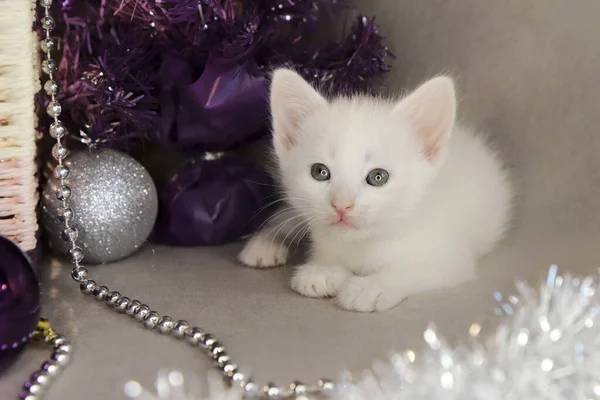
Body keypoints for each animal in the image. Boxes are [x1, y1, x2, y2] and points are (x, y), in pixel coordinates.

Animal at [239, 69, 510, 312]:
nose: (341, 204)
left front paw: (370, 288)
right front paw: (322, 269)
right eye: (320, 172)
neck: (365, 243)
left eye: (378, 177)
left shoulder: (451, 256)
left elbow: (412, 268)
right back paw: (266, 242)